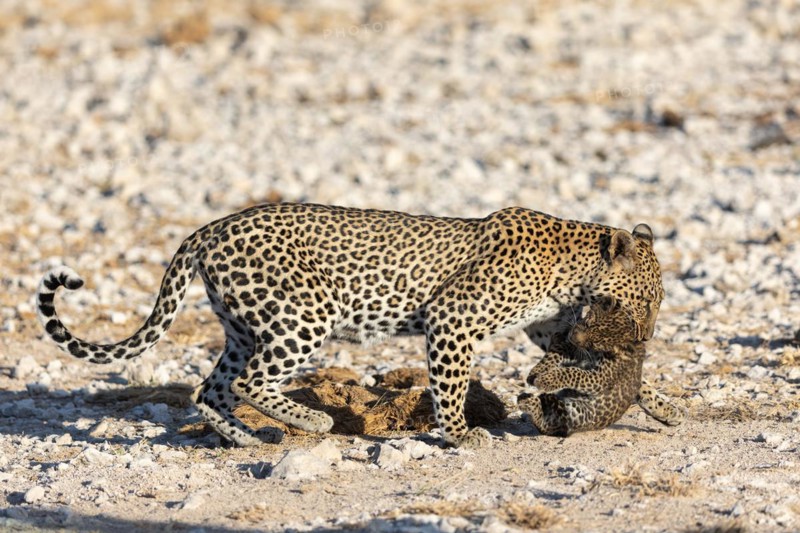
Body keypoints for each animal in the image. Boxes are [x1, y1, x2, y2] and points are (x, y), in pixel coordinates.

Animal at [36, 203, 665, 448]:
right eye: (649, 300)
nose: (645, 335)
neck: (573, 271)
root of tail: (209, 228)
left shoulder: (548, 327)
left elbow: (587, 362)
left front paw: (662, 402)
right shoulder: (452, 320)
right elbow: (451, 385)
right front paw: (460, 434)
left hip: (244, 327)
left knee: (209, 387)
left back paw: (246, 438)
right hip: (303, 315)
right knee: (248, 381)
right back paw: (311, 420)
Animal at [518, 297, 684, 437]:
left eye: (595, 342)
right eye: (587, 324)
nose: (572, 337)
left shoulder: (599, 377)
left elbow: (572, 373)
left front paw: (545, 380)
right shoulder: (578, 351)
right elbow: (557, 353)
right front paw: (537, 372)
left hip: (574, 414)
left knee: (549, 423)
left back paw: (526, 401)